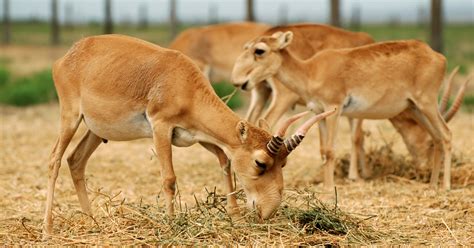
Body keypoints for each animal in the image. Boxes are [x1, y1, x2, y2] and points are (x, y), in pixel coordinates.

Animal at [43, 33, 334, 236]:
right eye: (260, 162)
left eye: (284, 163)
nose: (267, 211)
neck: (184, 84)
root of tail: (67, 57)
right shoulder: (161, 128)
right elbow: (169, 179)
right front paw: (172, 223)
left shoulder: (199, 138)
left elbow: (225, 162)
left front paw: (235, 217)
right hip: (70, 117)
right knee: (54, 160)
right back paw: (47, 228)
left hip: (95, 130)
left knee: (75, 160)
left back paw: (92, 221)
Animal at [231, 31, 454, 190]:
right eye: (247, 47)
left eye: (259, 50)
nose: (241, 81)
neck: (310, 71)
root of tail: (439, 57)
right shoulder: (318, 113)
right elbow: (323, 150)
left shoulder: (334, 109)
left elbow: (331, 150)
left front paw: (329, 190)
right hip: (416, 108)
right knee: (436, 138)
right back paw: (432, 185)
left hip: (427, 103)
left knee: (446, 135)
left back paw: (445, 186)